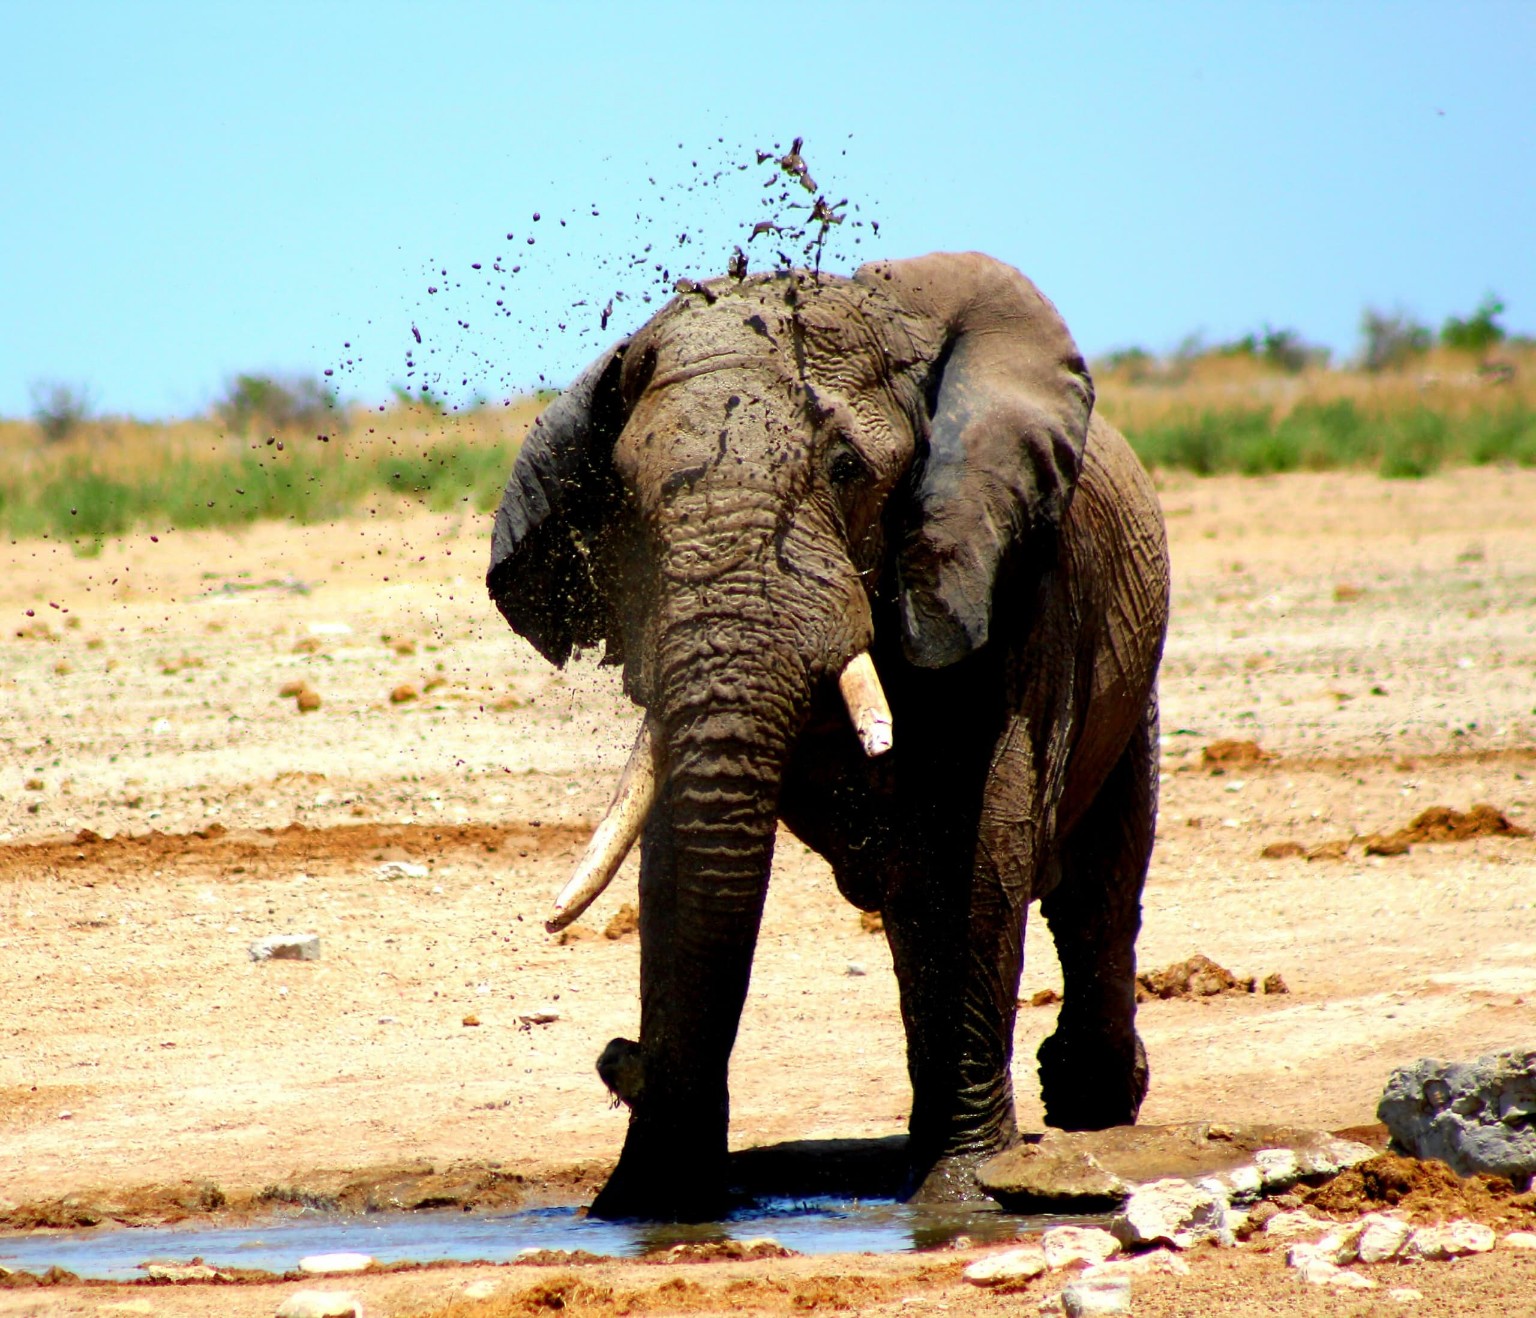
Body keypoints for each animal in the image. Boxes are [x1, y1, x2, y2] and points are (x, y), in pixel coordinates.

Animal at [486, 251, 1170, 1221]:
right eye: (627, 502)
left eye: (846, 468)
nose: (617, 1059)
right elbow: (671, 860)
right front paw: (651, 1205)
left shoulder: (997, 568)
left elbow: (971, 841)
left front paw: (961, 1196)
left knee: (1100, 886)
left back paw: (1088, 1102)